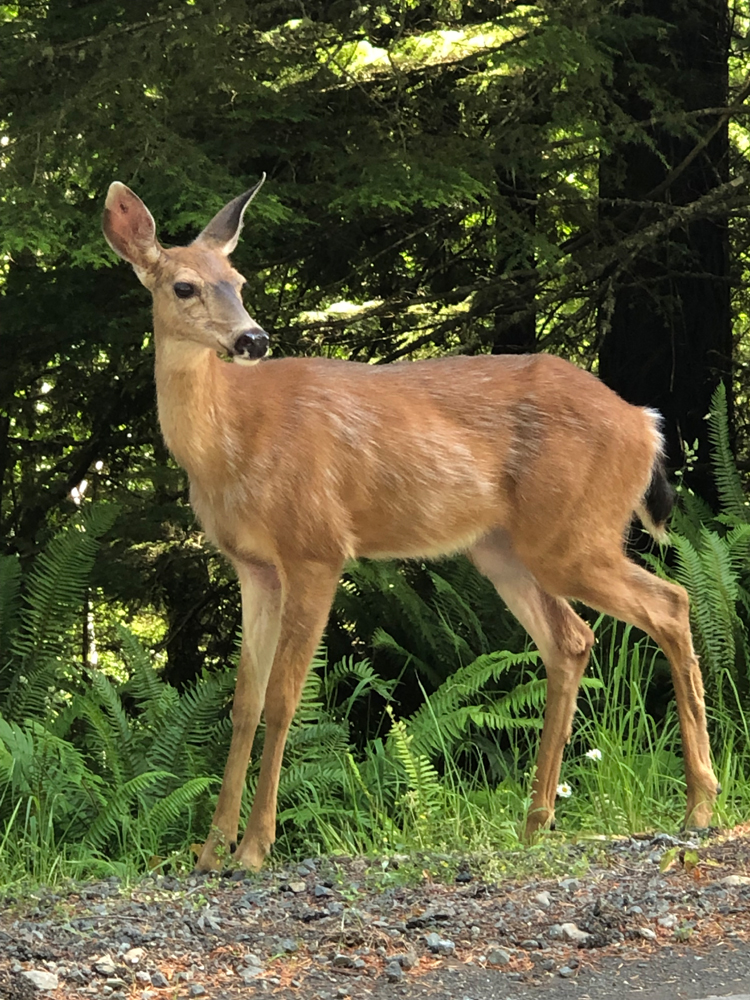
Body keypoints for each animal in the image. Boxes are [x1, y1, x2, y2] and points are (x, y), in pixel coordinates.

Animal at [104, 176, 724, 872]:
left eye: (238, 280)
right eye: (184, 286)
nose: (252, 340)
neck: (230, 442)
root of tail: (645, 424)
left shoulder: (316, 546)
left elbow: (284, 698)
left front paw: (256, 848)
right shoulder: (254, 565)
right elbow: (242, 702)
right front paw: (212, 851)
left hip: (570, 535)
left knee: (670, 602)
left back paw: (699, 806)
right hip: (504, 548)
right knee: (572, 638)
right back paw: (536, 823)